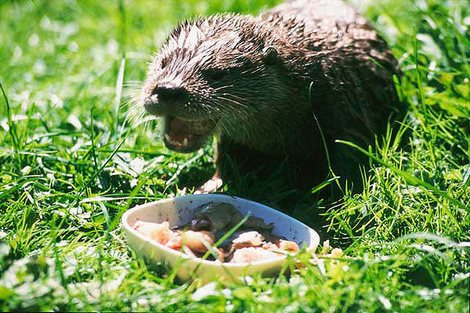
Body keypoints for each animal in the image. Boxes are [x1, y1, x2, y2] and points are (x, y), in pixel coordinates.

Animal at [138, 0, 406, 191]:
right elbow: (226, 162)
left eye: (216, 74)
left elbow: (346, 169)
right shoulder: (236, 139)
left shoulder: (346, 117)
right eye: (163, 63)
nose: (168, 89)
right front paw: (208, 187)